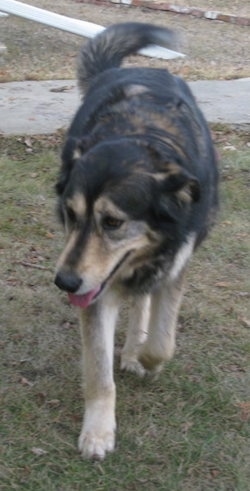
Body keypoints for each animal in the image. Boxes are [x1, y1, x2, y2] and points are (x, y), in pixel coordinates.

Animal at [53, 23, 218, 462]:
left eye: (112, 222)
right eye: (71, 214)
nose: (64, 283)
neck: (141, 134)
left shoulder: (174, 266)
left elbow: (163, 342)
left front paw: (146, 357)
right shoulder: (96, 289)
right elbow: (99, 371)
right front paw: (98, 431)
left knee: (144, 300)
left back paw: (132, 350)